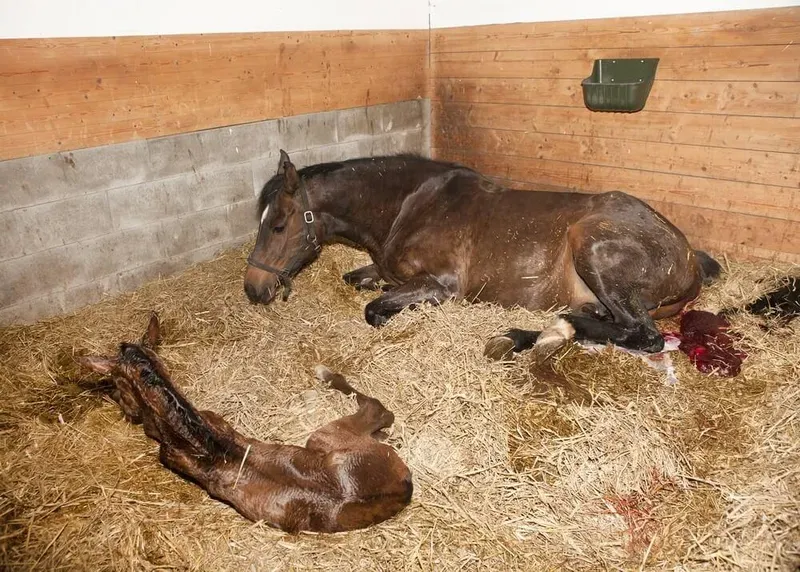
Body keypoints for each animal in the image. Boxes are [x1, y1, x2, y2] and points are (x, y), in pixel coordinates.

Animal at [77, 314, 412, 533]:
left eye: (119, 386)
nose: (127, 411)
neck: (201, 441)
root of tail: (404, 486)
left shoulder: (166, 454)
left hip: (321, 435)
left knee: (378, 407)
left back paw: (325, 373)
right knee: (383, 417)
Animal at [244, 151, 720, 358]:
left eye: (279, 224)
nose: (253, 289)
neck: (410, 205)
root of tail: (688, 257)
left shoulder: (440, 284)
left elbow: (375, 310)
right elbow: (359, 281)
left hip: (593, 249)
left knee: (644, 336)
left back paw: (538, 334)